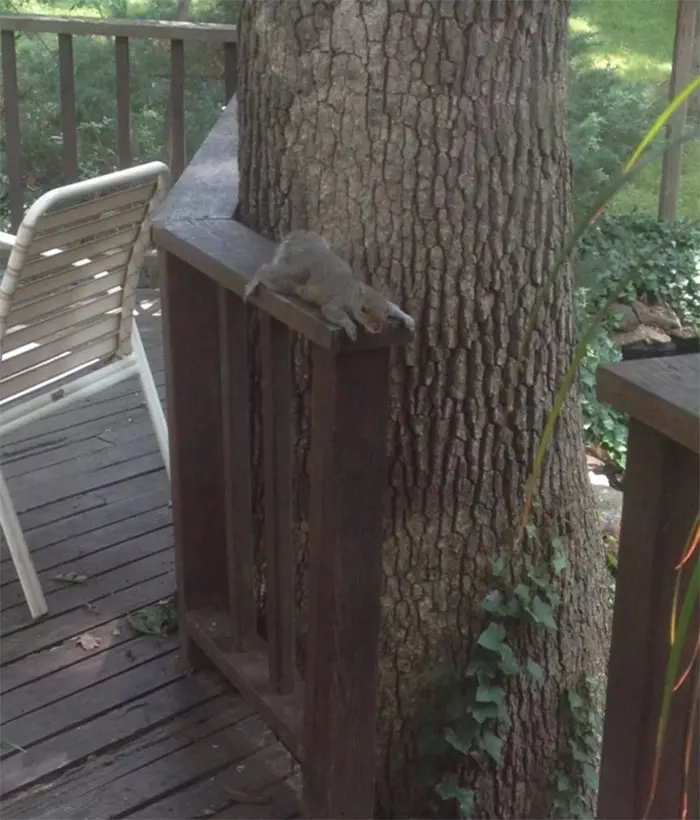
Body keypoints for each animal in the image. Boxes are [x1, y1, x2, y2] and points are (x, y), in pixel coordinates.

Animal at [243, 227, 412, 340]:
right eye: (363, 309)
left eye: (385, 311)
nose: (376, 327)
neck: (352, 295)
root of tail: (307, 252)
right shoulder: (336, 302)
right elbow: (333, 312)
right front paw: (350, 326)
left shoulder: (387, 303)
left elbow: (395, 307)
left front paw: (408, 318)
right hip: (287, 280)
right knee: (264, 271)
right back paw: (252, 284)